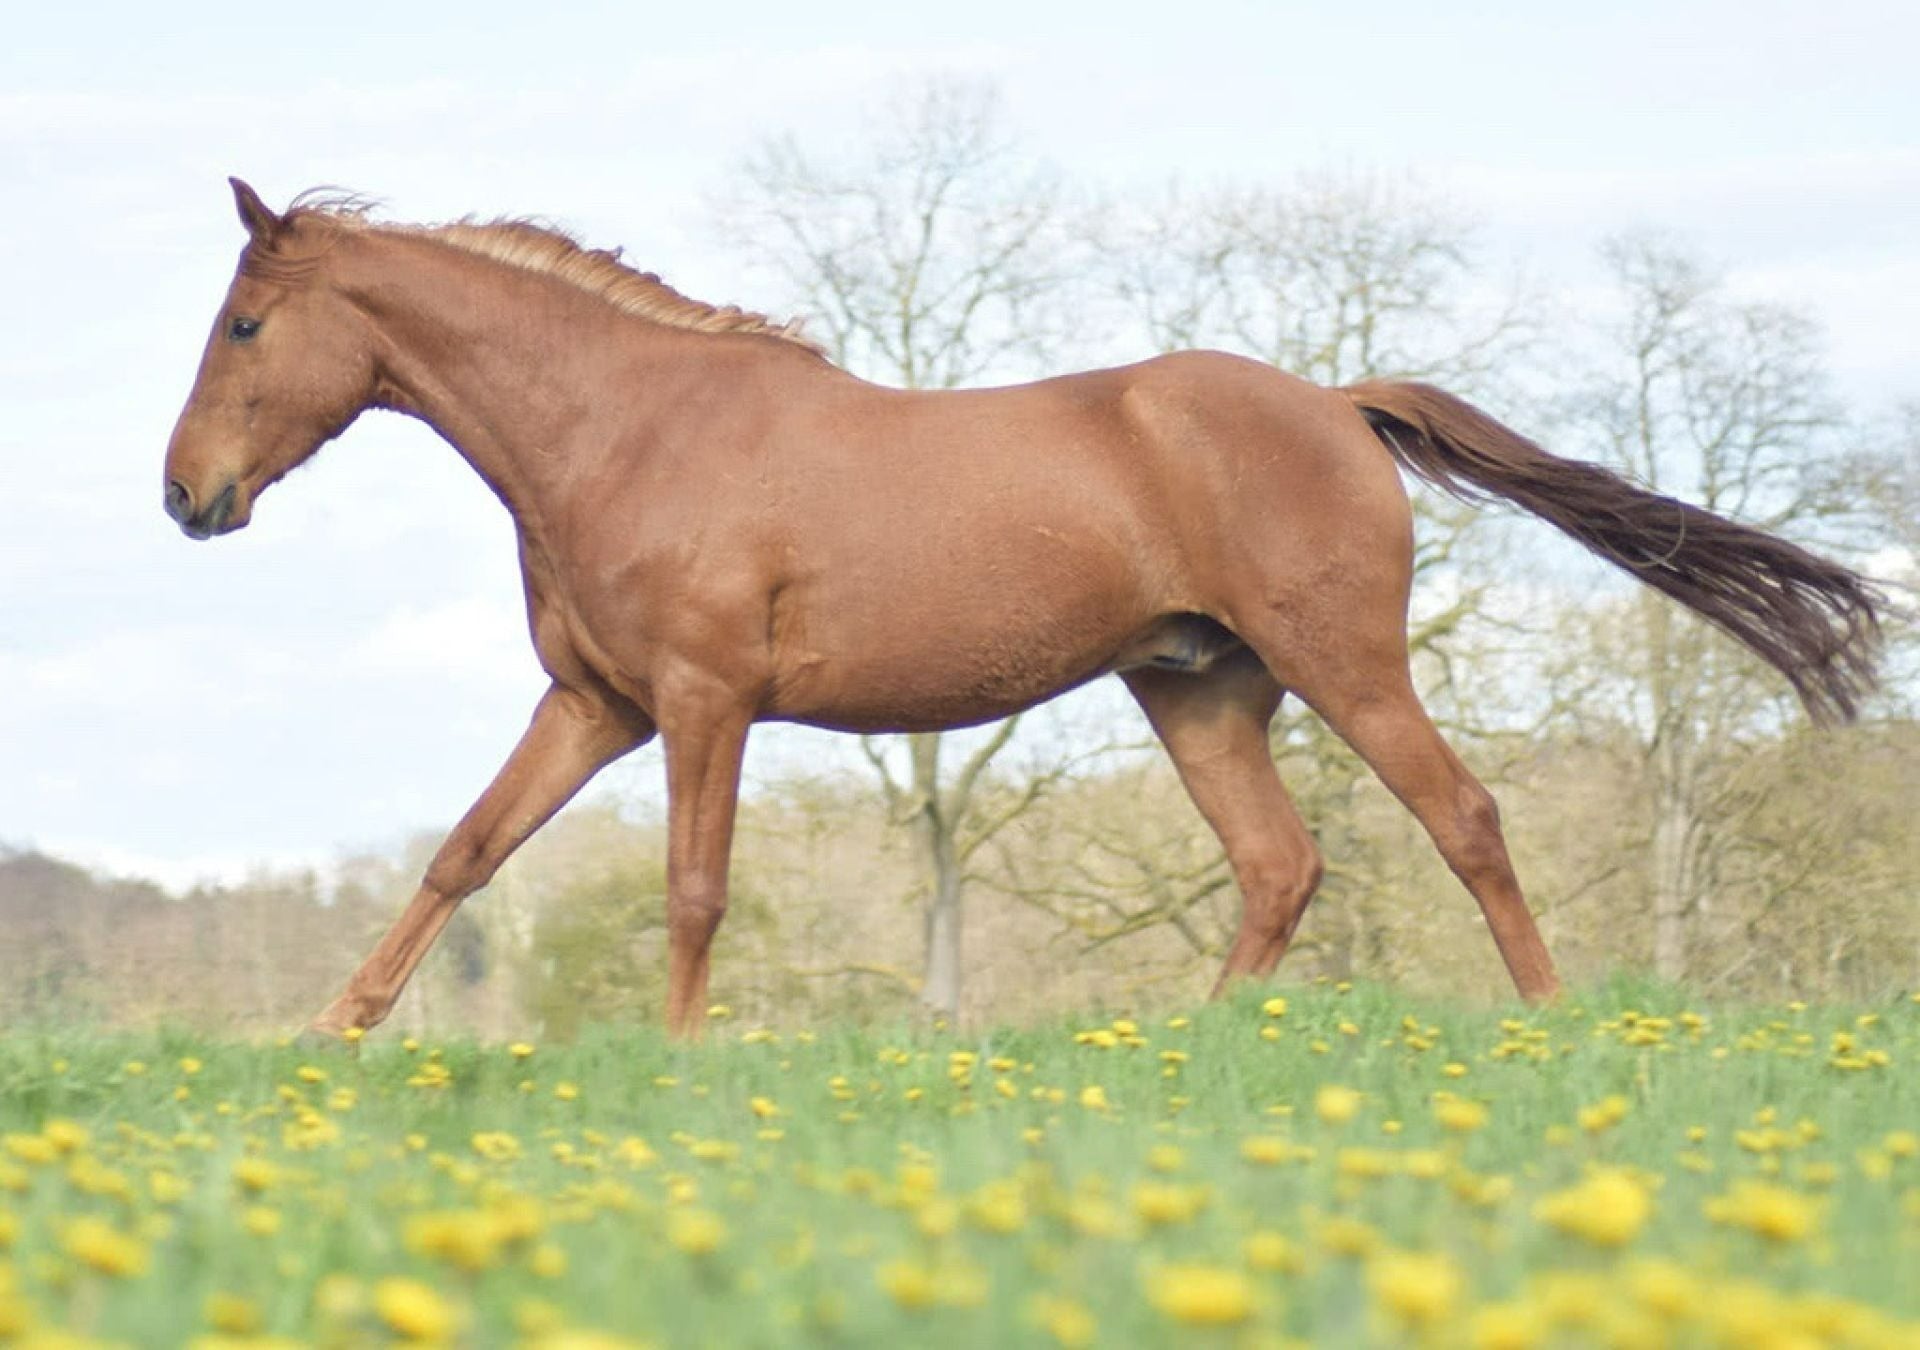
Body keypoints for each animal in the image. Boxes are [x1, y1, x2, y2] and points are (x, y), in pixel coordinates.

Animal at [162, 180, 1881, 1039]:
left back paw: (1548, 1020)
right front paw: (331, 1033)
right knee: (1282, 863)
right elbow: (466, 851)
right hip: (1199, 691)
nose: (187, 497)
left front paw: (679, 1055)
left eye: (244, 322)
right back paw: (1194, 1045)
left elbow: (693, 888)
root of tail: (1339, 401)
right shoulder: (598, 706)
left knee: (1461, 816)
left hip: (1343, 662)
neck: (628, 429)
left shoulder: (705, 702)